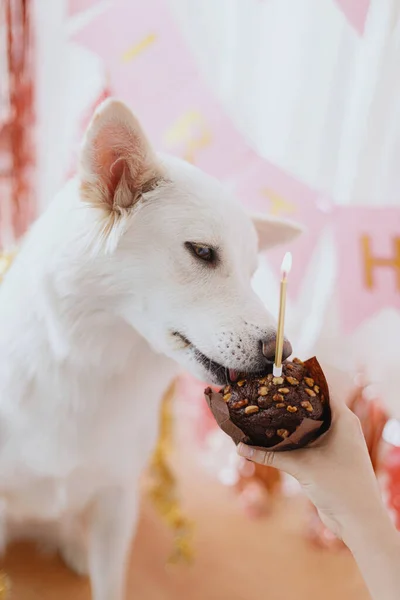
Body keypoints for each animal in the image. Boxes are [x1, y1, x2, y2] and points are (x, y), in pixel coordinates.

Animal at [0, 101, 300, 596]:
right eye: (202, 251)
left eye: (251, 271)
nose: (284, 350)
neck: (89, 371)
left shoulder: (117, 498)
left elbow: (110, 584)